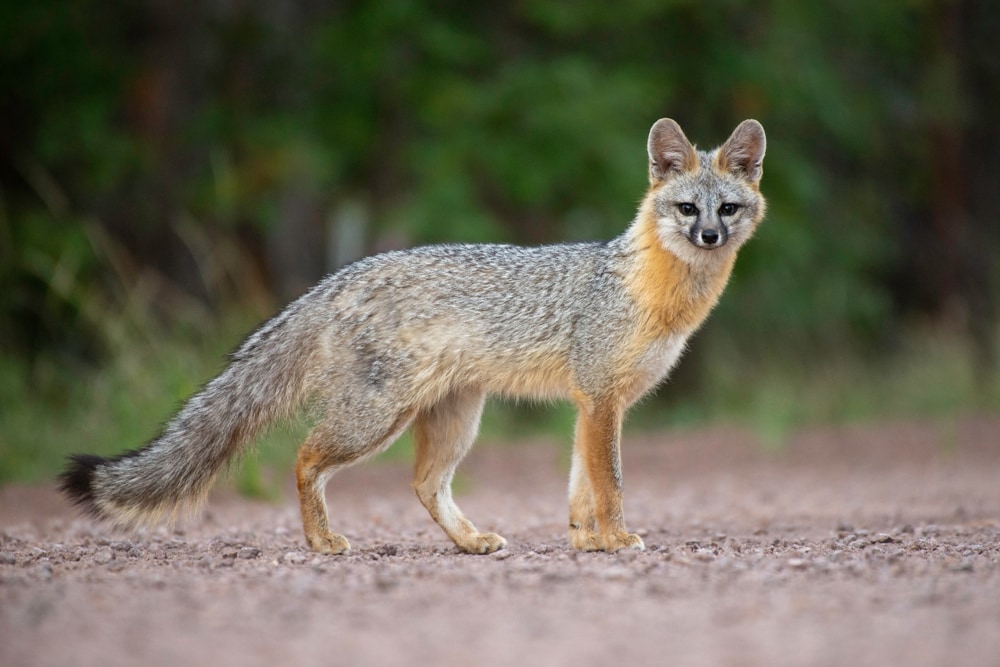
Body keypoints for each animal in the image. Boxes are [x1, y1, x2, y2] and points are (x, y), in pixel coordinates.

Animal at [60, 118, 766, 555]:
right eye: (687, 208)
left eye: (727, 208)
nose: (710, 236)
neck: (652, 292)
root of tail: (342, 275)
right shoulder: (599, 401)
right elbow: (610, 484)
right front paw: (617, 540)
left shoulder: (594, 405)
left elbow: (580, 488)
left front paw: (587, 540)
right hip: (376, 419)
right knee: (305, 458)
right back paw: (321, 542)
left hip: (453, 421)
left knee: (424, 486)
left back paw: (470, 541)